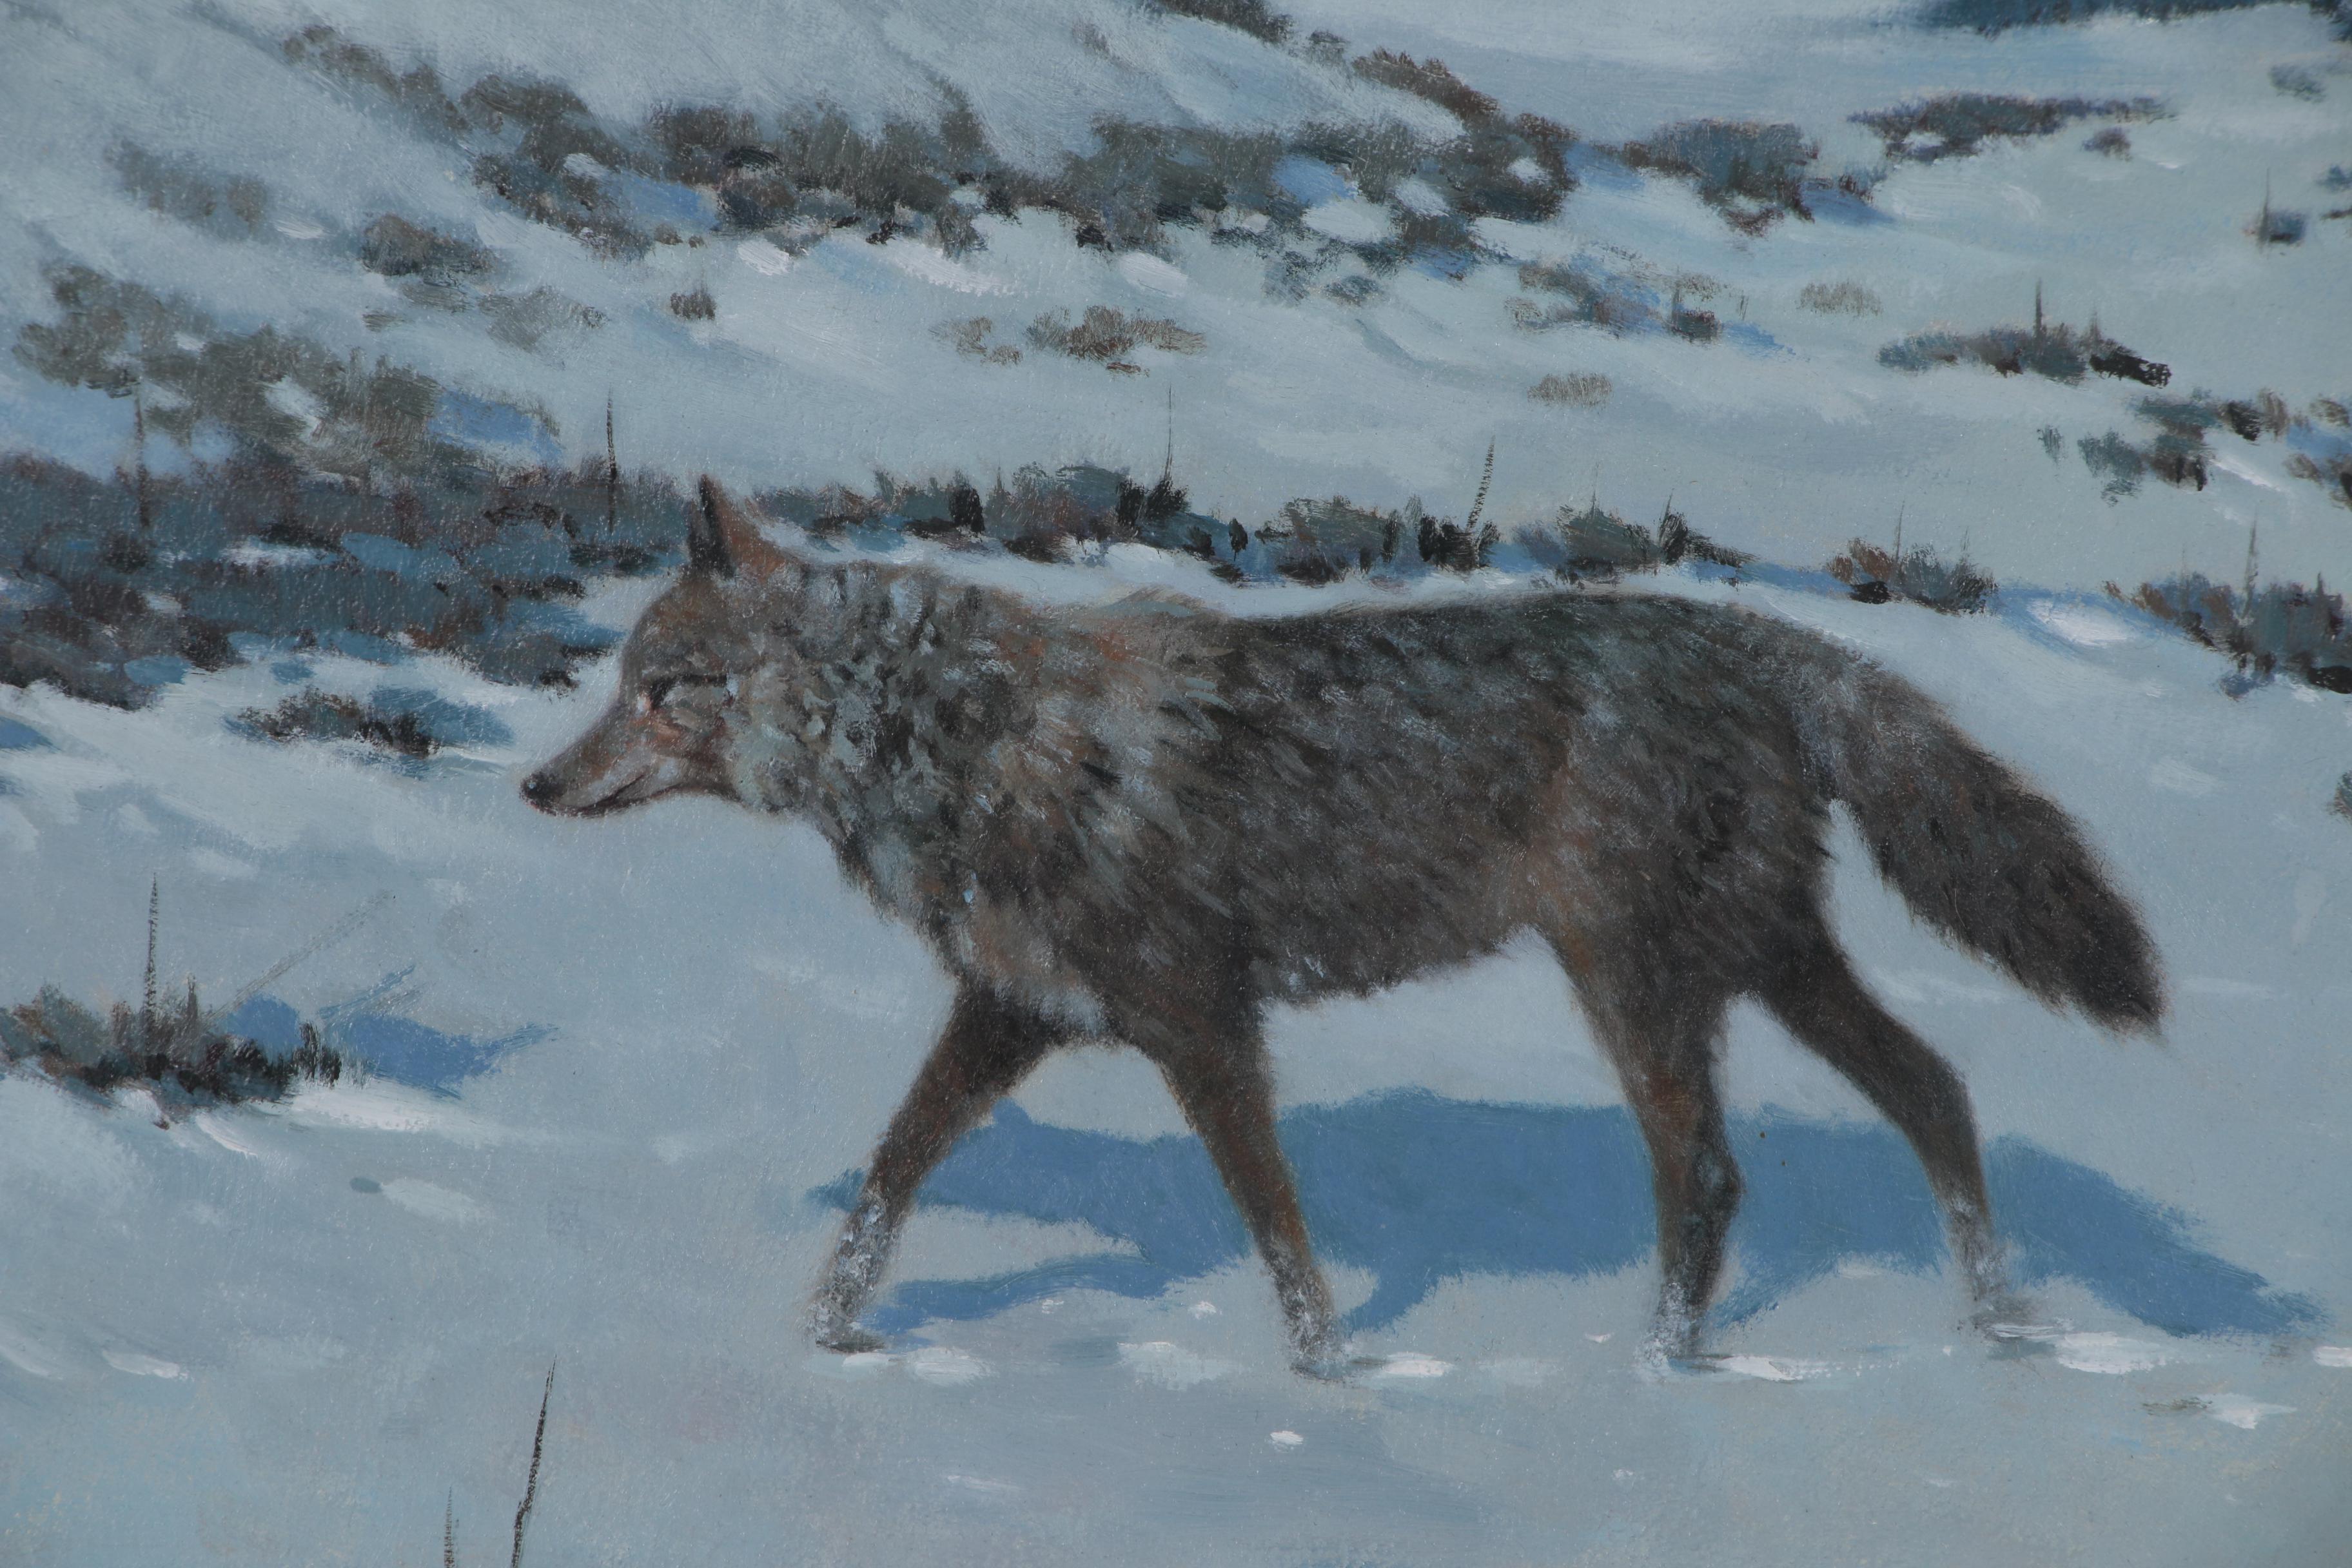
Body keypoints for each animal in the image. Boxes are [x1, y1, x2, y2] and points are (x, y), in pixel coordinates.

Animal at [525, 479, 2162, 1375]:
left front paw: (1332, 1385)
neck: (963, 748)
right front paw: (815, 1343)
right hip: (1757, 962)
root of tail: (1764, 639)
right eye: (617, 682)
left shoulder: (1204, 1024)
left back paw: (1644, 1380)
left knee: (1708, 1173)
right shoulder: (1013, 1015)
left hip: (1640, 981)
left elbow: (1278, 1229)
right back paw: (1993, 1327)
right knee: (1933, 1089)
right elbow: (884, 1184)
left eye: (664, 690)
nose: (536, 783)